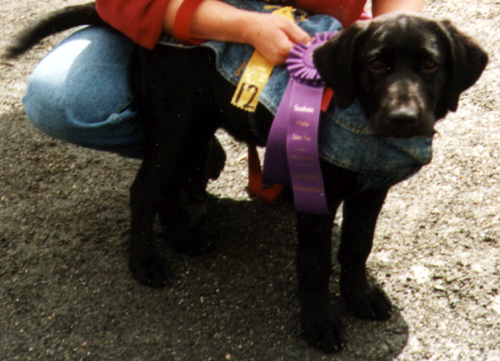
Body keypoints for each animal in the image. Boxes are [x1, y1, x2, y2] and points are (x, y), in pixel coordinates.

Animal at [3, 2, 488, 352]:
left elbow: (356, 247)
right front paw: (319, 323)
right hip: (175, 126)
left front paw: (358, 297)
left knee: (169, 186)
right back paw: (144, 262)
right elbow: (315, 266)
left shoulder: (370, 190)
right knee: (144, 190)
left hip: (192, 129)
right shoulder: (317, 196)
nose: (403, 118)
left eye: (429, 65)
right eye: (375, 65)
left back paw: (183, 238)